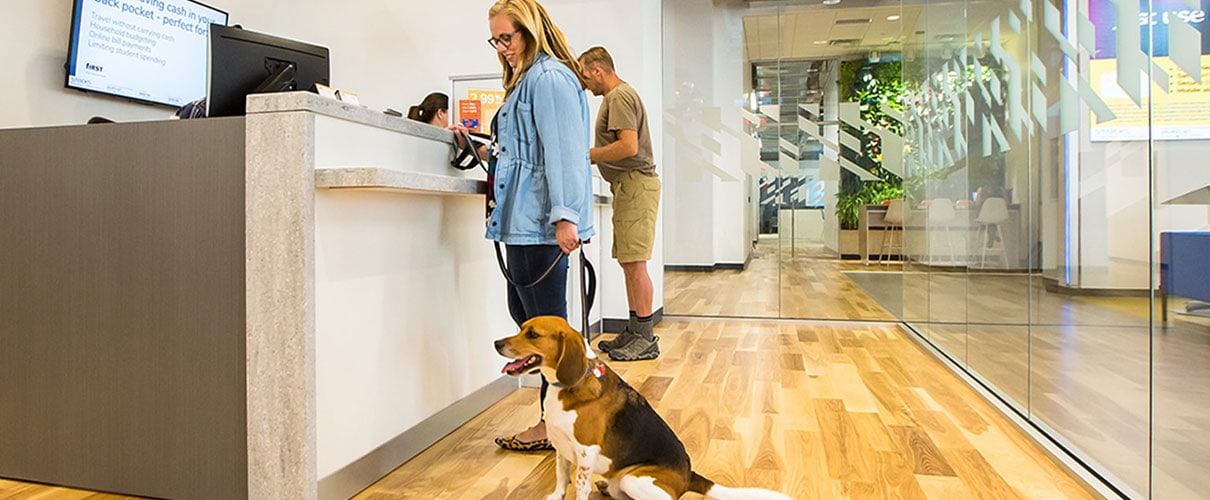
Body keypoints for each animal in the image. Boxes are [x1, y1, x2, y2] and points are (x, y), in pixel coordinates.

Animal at [493, 314, 793, 498]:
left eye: (532, 334)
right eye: (521, 327)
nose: (496, 342)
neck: (565, 386)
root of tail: (688, 475)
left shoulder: (585, 454)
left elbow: (579, 487)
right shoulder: (561, 447)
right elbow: (559, 478)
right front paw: (556, 496)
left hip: (633, 479)